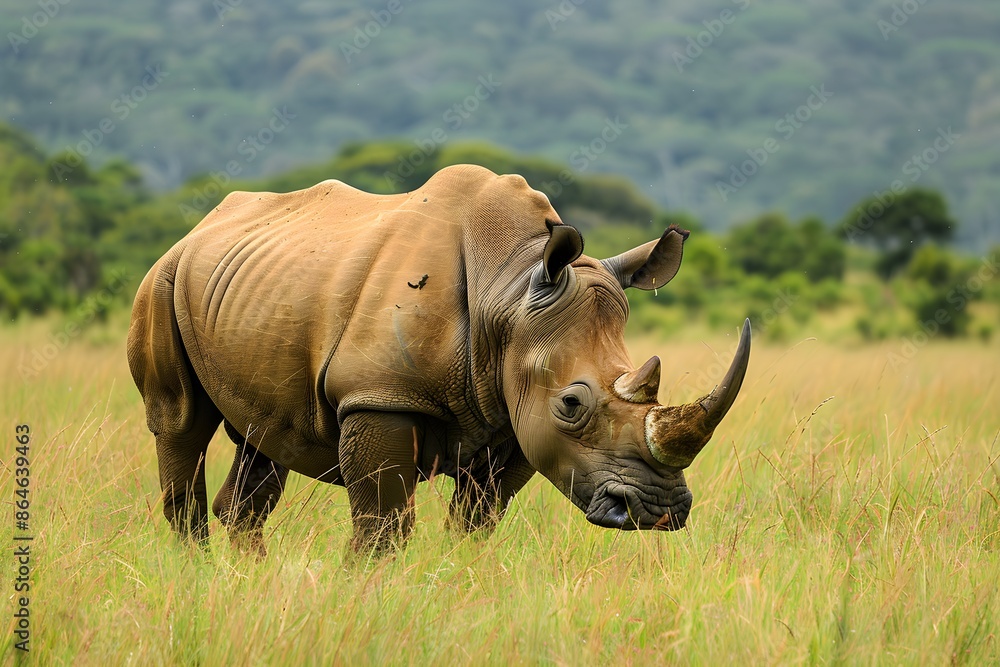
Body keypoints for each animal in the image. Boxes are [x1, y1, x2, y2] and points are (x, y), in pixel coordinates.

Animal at [128, 164, 750, 554]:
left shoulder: (514, 417)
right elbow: (381, 526)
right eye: (572, 404)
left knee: (262, 439)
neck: (510, 289)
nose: (658, 510)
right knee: (180, 423)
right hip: (162, 278)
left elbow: (476, 521)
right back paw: (195, 571)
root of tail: (200, 226)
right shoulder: (379, 396)